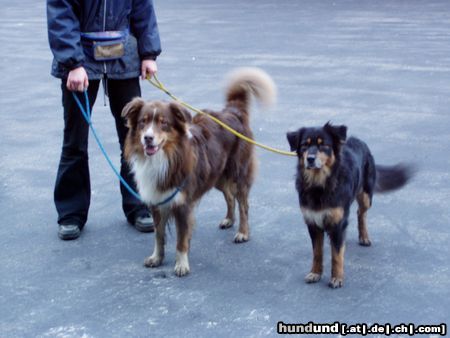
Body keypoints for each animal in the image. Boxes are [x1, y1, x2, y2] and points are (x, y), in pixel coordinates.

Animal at [121, 67, 274, 276]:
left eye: (163, 123)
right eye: (143, 122)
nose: (148, 138)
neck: (165, 158)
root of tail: (233, 111)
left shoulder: (183, 204)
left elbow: (181, 239)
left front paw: (181, 264)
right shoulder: (157, 201)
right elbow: (158, 236)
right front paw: (157, 258)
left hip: (238, 172)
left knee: (243, 203)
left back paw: (243, 232)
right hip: (217, 175)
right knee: (229, 196)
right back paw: (229, 219)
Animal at [288, 124, 412, 288]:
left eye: (323, 145)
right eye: (304, 146)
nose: (310, 159)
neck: (320, 184)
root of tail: (358, 140)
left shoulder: (338, 222)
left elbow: (336, 255)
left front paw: (337, 278)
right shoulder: (313, 222)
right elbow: (317, 252)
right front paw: (315, 273)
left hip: (366, 196)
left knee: (361, 213)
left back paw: (364, 237)